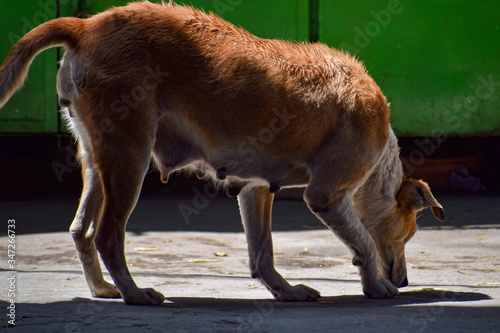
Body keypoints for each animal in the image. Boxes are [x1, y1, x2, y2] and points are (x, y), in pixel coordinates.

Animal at [1, 1, 444, 304]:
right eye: (409, 233)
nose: (405, 281)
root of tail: (87, 23)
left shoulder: (255, 190)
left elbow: (262, 253)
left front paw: (285, 291)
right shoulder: (327, 195)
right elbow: (365, 242)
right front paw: (377, 285)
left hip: (97, 160)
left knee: (81, 229)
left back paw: (102, 288)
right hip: (130, 158)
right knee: (108, 234)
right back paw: (135, 294)